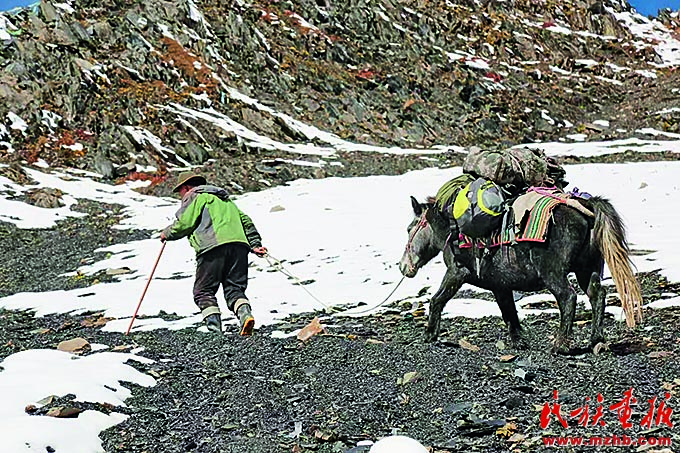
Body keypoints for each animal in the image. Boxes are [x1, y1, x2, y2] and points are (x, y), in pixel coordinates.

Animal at [398, 192, 644, 352]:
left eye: (410, 229)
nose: (403, 267)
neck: (452, 229)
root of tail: (585, 208)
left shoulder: (456, 274)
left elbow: (437, 299)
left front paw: (429, 334)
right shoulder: (500, 285)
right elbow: (509, 311)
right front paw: (519, 341)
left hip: (553, 273)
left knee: (568, 297)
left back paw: (560, 345)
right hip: (587, 269)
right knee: (597, 295)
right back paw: (596, 340)